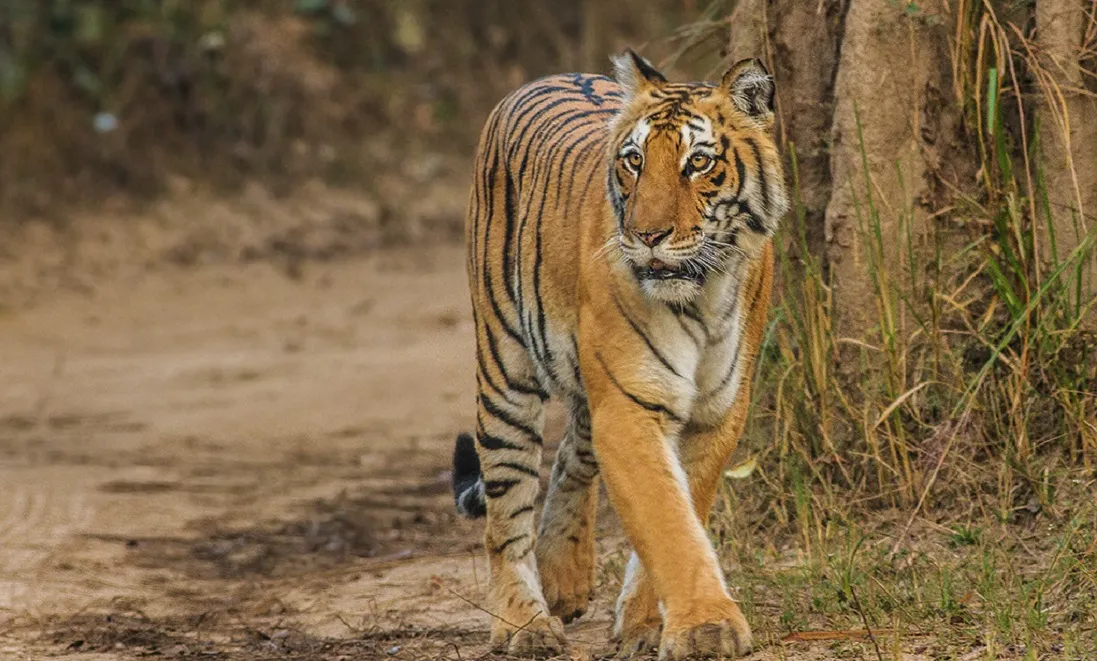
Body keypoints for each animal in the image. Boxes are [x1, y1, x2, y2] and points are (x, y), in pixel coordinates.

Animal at [447, 49, 789, 657]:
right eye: (634, 161)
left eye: (698, 162)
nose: (647, 235)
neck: (702, 295)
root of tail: (546, 76)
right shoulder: (630, 407)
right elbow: (667, 521)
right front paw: (705, 627)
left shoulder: (716, 411)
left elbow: (683, 509)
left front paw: (646, 623)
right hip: (505, 367)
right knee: (505, 512)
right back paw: (525, 625)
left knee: (570, 454)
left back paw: (564, 577)